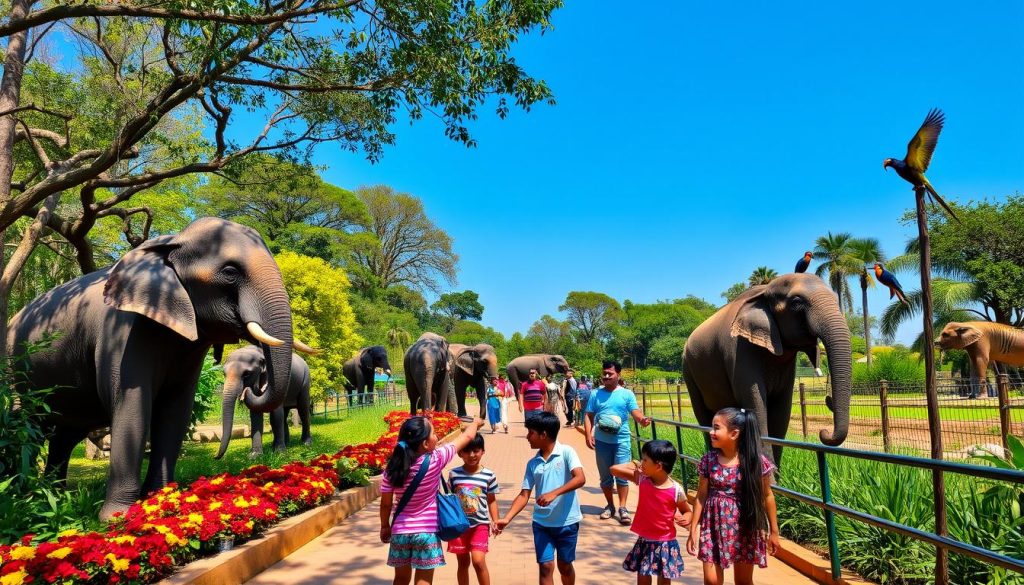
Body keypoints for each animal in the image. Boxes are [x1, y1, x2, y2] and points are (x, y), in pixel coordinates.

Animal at [7, 217, 311, 520]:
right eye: (230, 272)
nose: (217, 458)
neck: (172, 242)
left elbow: (176, 409)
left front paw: (162, 500)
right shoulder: (121, 334)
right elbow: (132, 406)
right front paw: (118, 517)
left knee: (64, 436)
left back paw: (51, 498)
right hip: (13, 371)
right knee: (24, 426)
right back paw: (24, 498)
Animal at [684, 272, 851, 465]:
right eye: (796, 302)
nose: (823, 432)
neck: (765, 290)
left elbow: (781, 412)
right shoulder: (739, 350)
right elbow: (755, 403)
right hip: (688, 372)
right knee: (704, 419)